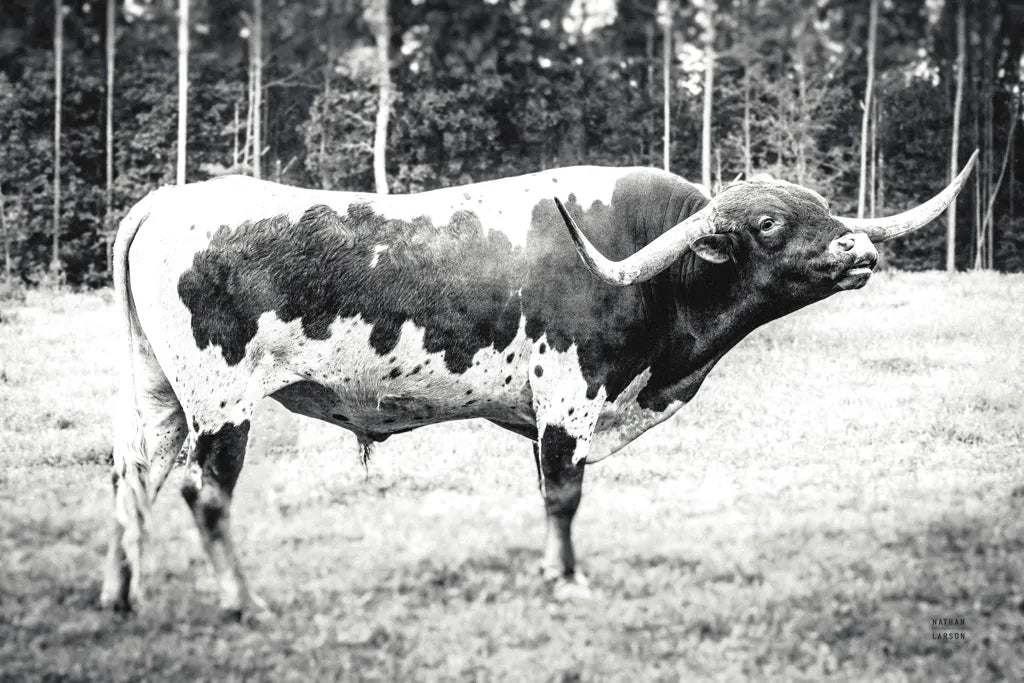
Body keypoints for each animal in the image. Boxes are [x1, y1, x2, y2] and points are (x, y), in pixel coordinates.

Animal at [100, 151, 977, 617]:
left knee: (132, 479)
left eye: (820, 205)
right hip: (221, 403)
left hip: (160, 396)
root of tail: (165, 201)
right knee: (204, 494)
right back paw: (242, 601)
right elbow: (564, 494)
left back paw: (121, 594)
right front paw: (567, 578)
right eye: (768, 223)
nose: (859, 249)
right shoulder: (568, 400)